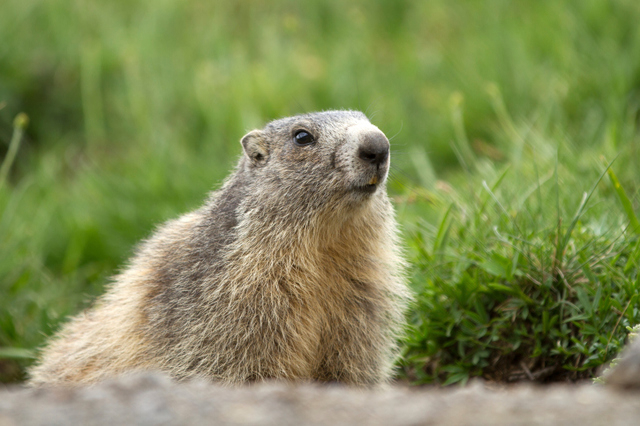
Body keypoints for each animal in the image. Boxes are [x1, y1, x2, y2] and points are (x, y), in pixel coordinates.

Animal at [28, 110, 410, 386]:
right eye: (302, 136)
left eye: (364, 117)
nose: (378, 144)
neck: (324, 245)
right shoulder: (231, 306)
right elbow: (233, 364)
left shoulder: (361, 298)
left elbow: (352, 362)